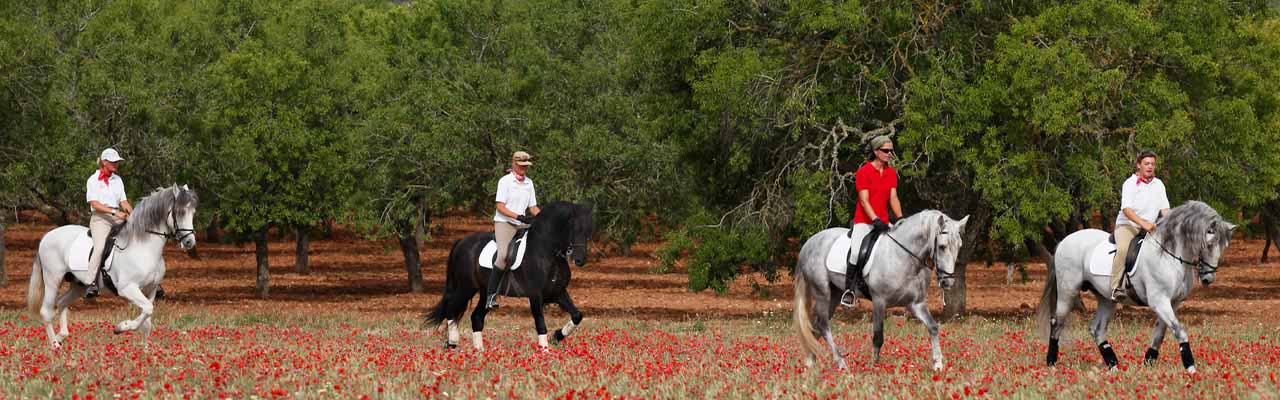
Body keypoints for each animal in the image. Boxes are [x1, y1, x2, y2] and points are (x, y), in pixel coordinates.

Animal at [26, 184, 197, 348]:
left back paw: (61, 336)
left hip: (78, 285)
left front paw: (145, 350)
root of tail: (47, 236)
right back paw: (55, 346)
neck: (143, 247)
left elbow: (147, 319)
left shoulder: (151, 289)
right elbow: (147, 309)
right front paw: (121, 327)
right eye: (181, 212)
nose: (190, 242)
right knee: (46, 312)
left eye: (193, 212)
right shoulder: (127, 288)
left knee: (62, 302)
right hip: (52, 279)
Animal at [424, 201, 593, 348]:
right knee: (451, 309)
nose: (580, 260)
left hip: (485, 292)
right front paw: (545, 351)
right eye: (574, 228)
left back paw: (479, 351)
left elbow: (577, 315)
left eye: (588, 231)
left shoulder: (558, 293)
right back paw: (452, 343)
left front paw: (556, 337)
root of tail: (461, 242)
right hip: (465, 288)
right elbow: (540, 323)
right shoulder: (535, 296)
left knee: (476, 317)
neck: (547, 251)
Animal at [788, 211, 967, 369]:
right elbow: (878, 337)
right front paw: (875, 367)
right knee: (823, 324)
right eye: (942, 246)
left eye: (959, 246)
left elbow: (933, 327)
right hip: (822, 292)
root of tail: (809, 243)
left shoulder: (916, 304)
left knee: (816, 326)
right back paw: (840, 363)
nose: (948, 282)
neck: (904, 256)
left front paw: (937, 364)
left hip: (835, 294)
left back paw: (811, 361)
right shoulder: (879, 301)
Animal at [1034, 201, 1233, 374]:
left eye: (1223, 247)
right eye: (1208, 244)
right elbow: (1179, 331)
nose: (1208, 278)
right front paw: (1191, 368)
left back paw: (1114, 366)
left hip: (1107, 299)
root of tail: (1064, 241)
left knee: (1097, 329)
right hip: (1068, 291)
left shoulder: (1173, 303)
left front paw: (1148, 363)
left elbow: (1160, 334)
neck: (1169, 256)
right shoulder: (1159, 301)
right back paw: (1051, 363)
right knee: (1057, 323)